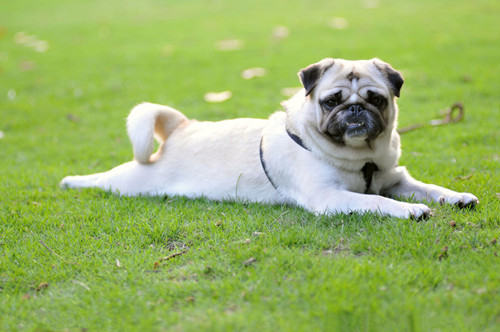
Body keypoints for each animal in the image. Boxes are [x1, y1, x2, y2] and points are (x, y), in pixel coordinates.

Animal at [60, 57, 478, 218]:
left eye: (375, 98)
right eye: (332, 101)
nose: (355, 109)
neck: (362, 159)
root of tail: (181, 126)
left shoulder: (396, 179)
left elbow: (428, 188)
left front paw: (456, 197)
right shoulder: (329, 197)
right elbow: (375, 201)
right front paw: (408, 211)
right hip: (132, 180)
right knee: (102, 180)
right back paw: (72, 181)